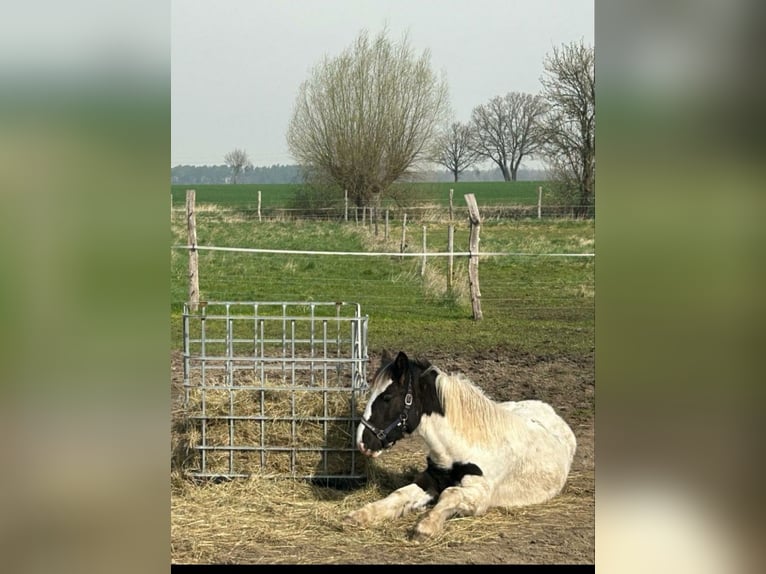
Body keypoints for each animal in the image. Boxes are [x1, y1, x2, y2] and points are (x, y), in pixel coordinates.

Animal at [344, 348, 576, 544]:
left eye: (387, 397)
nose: (362, 442)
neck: (462, 447)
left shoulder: (481, 495)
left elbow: (450, 494)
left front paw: (426, 527)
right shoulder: (430, 480)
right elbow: (399, 494)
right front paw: (361, 515)